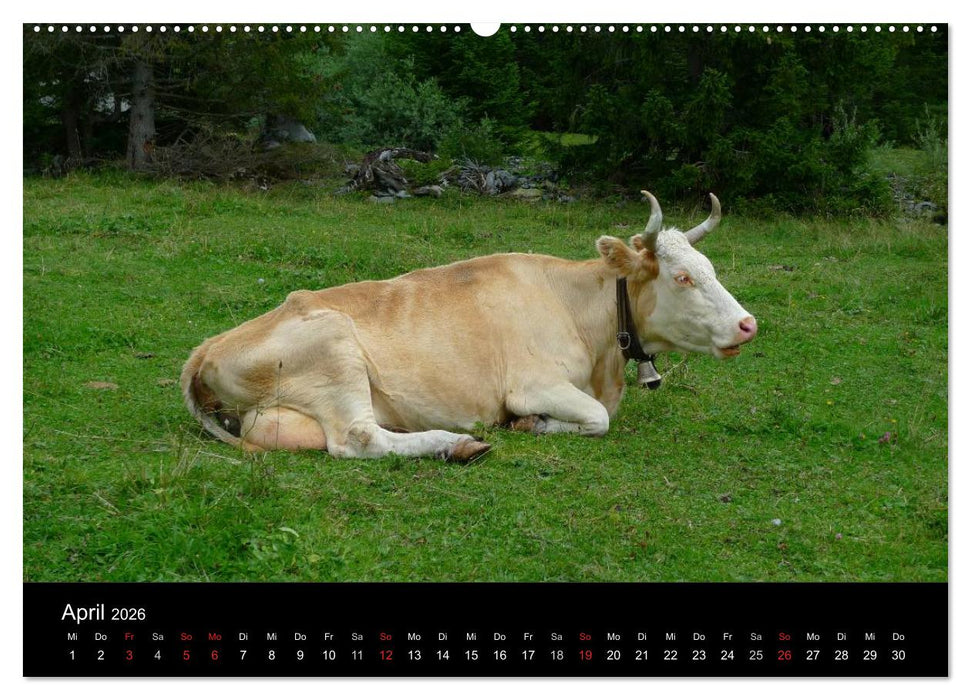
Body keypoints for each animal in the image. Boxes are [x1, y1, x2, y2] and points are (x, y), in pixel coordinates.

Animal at [181, 191, 757, 461]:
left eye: (710, 268)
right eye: (682, 277)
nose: (748, 325)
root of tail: (206, 347)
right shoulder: (532, 384)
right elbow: (596, 419)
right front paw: (532, 425)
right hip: (336, 350)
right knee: (358, 439)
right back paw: (456, 443)